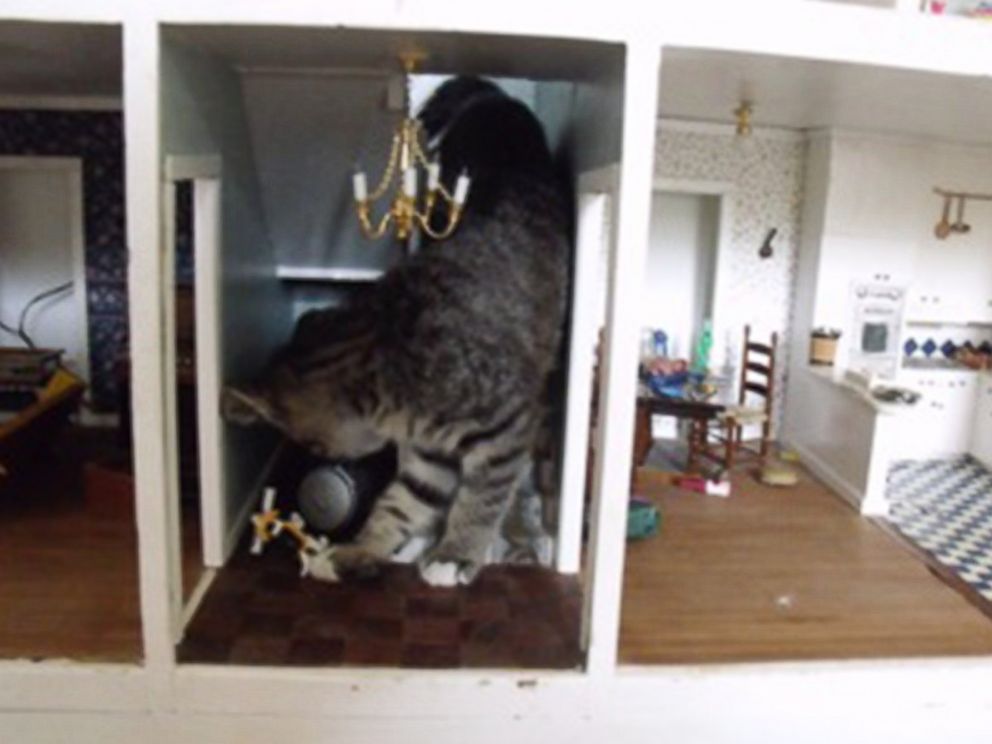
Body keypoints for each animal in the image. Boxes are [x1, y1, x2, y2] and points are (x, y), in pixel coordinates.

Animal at [222, 77, 568, 588]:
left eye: (312, 445)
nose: (323, 457)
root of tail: (494, 97)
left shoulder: (506, 423)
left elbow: (481, 496)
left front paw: (455, 553)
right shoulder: (429, 453)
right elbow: (404, 502)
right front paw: (358, 549)